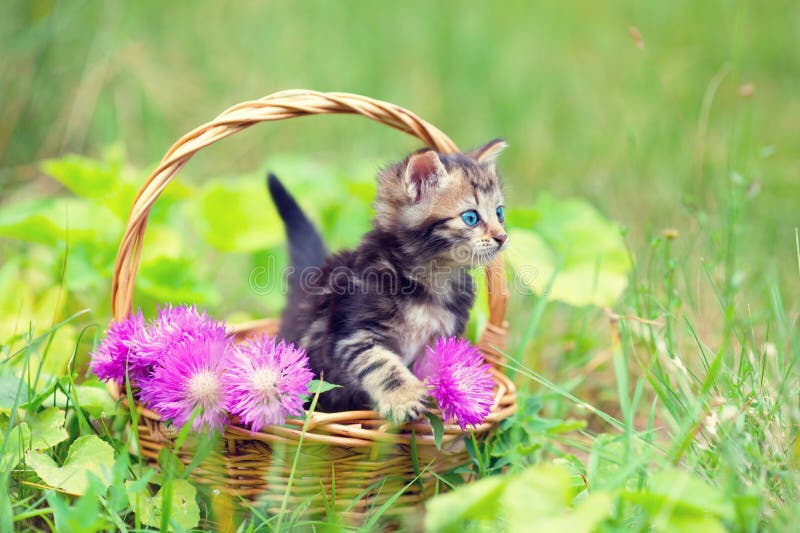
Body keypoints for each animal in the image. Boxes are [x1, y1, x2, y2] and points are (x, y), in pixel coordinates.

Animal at [268, 139, 506, 422]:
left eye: (499, 213)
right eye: (471, 217)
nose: (502, 237)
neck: (429, 278)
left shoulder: (441, 338)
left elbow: (437, 367)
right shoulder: (356, 334)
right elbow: (381, 365)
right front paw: (405, 398)